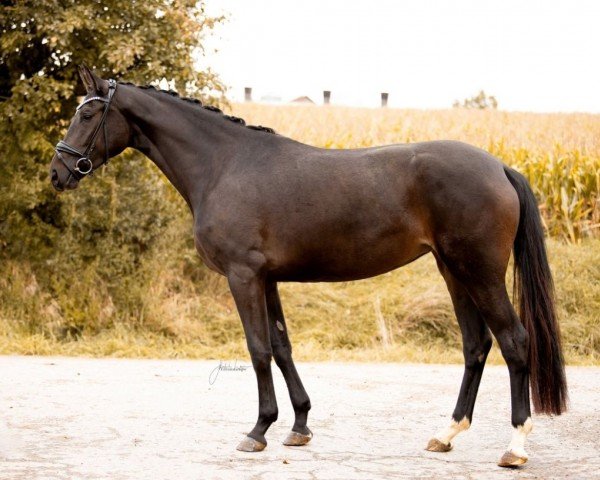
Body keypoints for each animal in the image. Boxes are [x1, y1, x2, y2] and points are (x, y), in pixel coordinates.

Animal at [48, 65, 568, 466]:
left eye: (88, 113)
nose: (58, 172)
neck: (224, 165)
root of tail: (499, 167)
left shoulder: (243, 276)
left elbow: (258, 349)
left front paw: (257, 430)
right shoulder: (267, 279)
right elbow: (282, 347)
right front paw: (298, 425)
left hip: (480, 273)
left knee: (515, 341)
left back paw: (515, 447)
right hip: (453, 272)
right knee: (476, 346)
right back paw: (447, 434)